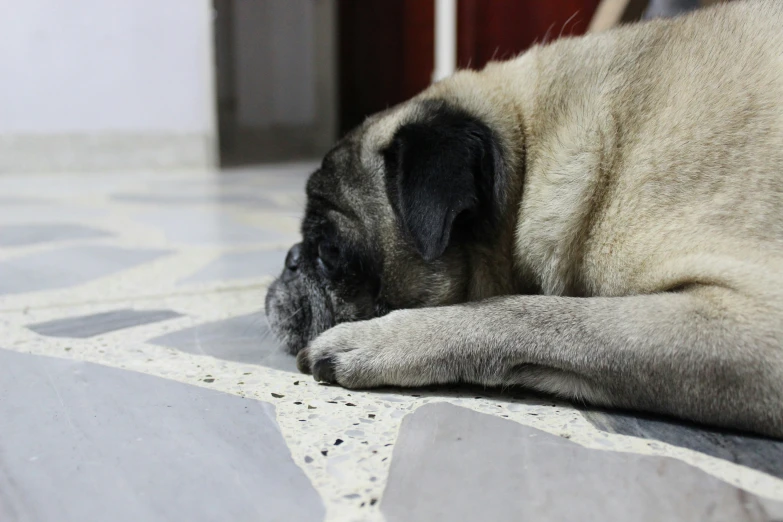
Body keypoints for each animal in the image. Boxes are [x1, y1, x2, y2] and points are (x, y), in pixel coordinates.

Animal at [264, 0, 783, 436]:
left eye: (330, 252)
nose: (290, 259)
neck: (531, 154)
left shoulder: (748, 323)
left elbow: (525, 314)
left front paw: (380, 340)